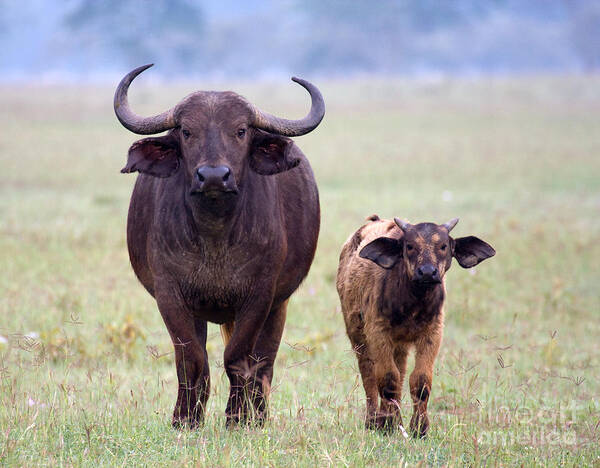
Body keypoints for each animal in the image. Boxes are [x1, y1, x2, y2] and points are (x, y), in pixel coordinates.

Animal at [112, 65, 324, 428]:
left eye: (240, 130)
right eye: (186, 131)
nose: (213, 176)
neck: (214, 234)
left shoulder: (259, 296)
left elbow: (238, 357)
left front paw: (237, 418)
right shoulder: (170, 294)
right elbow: (192, 359)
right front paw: (185, 419)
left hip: (279, 305)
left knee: (264, 362)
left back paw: (258, 415)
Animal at [336, 216, 494, 436]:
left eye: (443, 246)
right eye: (410, 246)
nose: (427, 272)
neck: (412, 303)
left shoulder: (432, 334)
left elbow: (419, 381)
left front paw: (419, 427)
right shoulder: (378, 333)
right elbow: (387, 378)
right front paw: (388, 424)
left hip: (400, 345)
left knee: (400, 372)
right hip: (357, 335)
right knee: (369, 374)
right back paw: (373, 420)